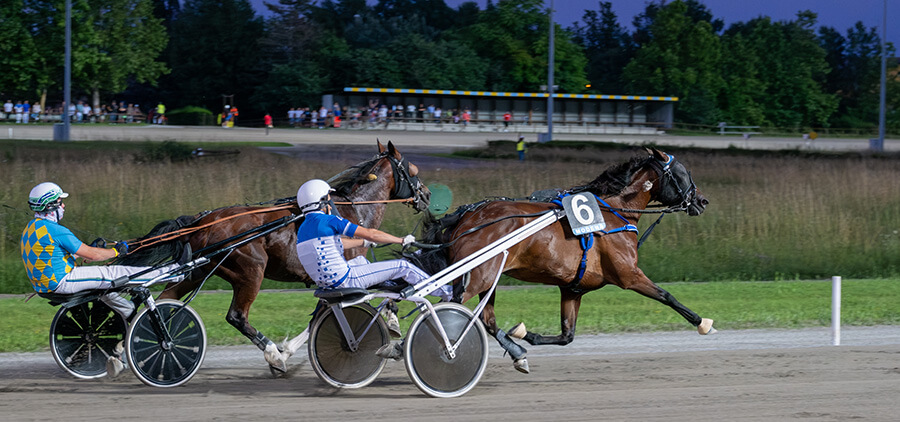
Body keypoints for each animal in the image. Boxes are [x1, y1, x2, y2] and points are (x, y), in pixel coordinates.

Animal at [118, 141, 428, 372]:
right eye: (413, 169)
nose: (425, 195)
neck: (352, 209)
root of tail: (202, 220)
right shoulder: (343, 271)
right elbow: (329, 312)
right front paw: (285, 351)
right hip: (250, 270)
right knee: (236, 316)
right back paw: (272, 354)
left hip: (198, 271)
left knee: (163, 300)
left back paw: (125, 348)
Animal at [414, 148, 712, 372]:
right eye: (683, 173)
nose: (702, 201)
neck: (614, 213)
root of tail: (467, 217)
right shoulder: (629, 274)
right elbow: (667, 295)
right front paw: (703, 323)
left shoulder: (573, 288)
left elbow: (567, 335)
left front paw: (524, 333)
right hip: (477, 277)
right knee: (447, 311)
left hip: (488, 279)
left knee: (486, 320)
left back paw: (516, 351)